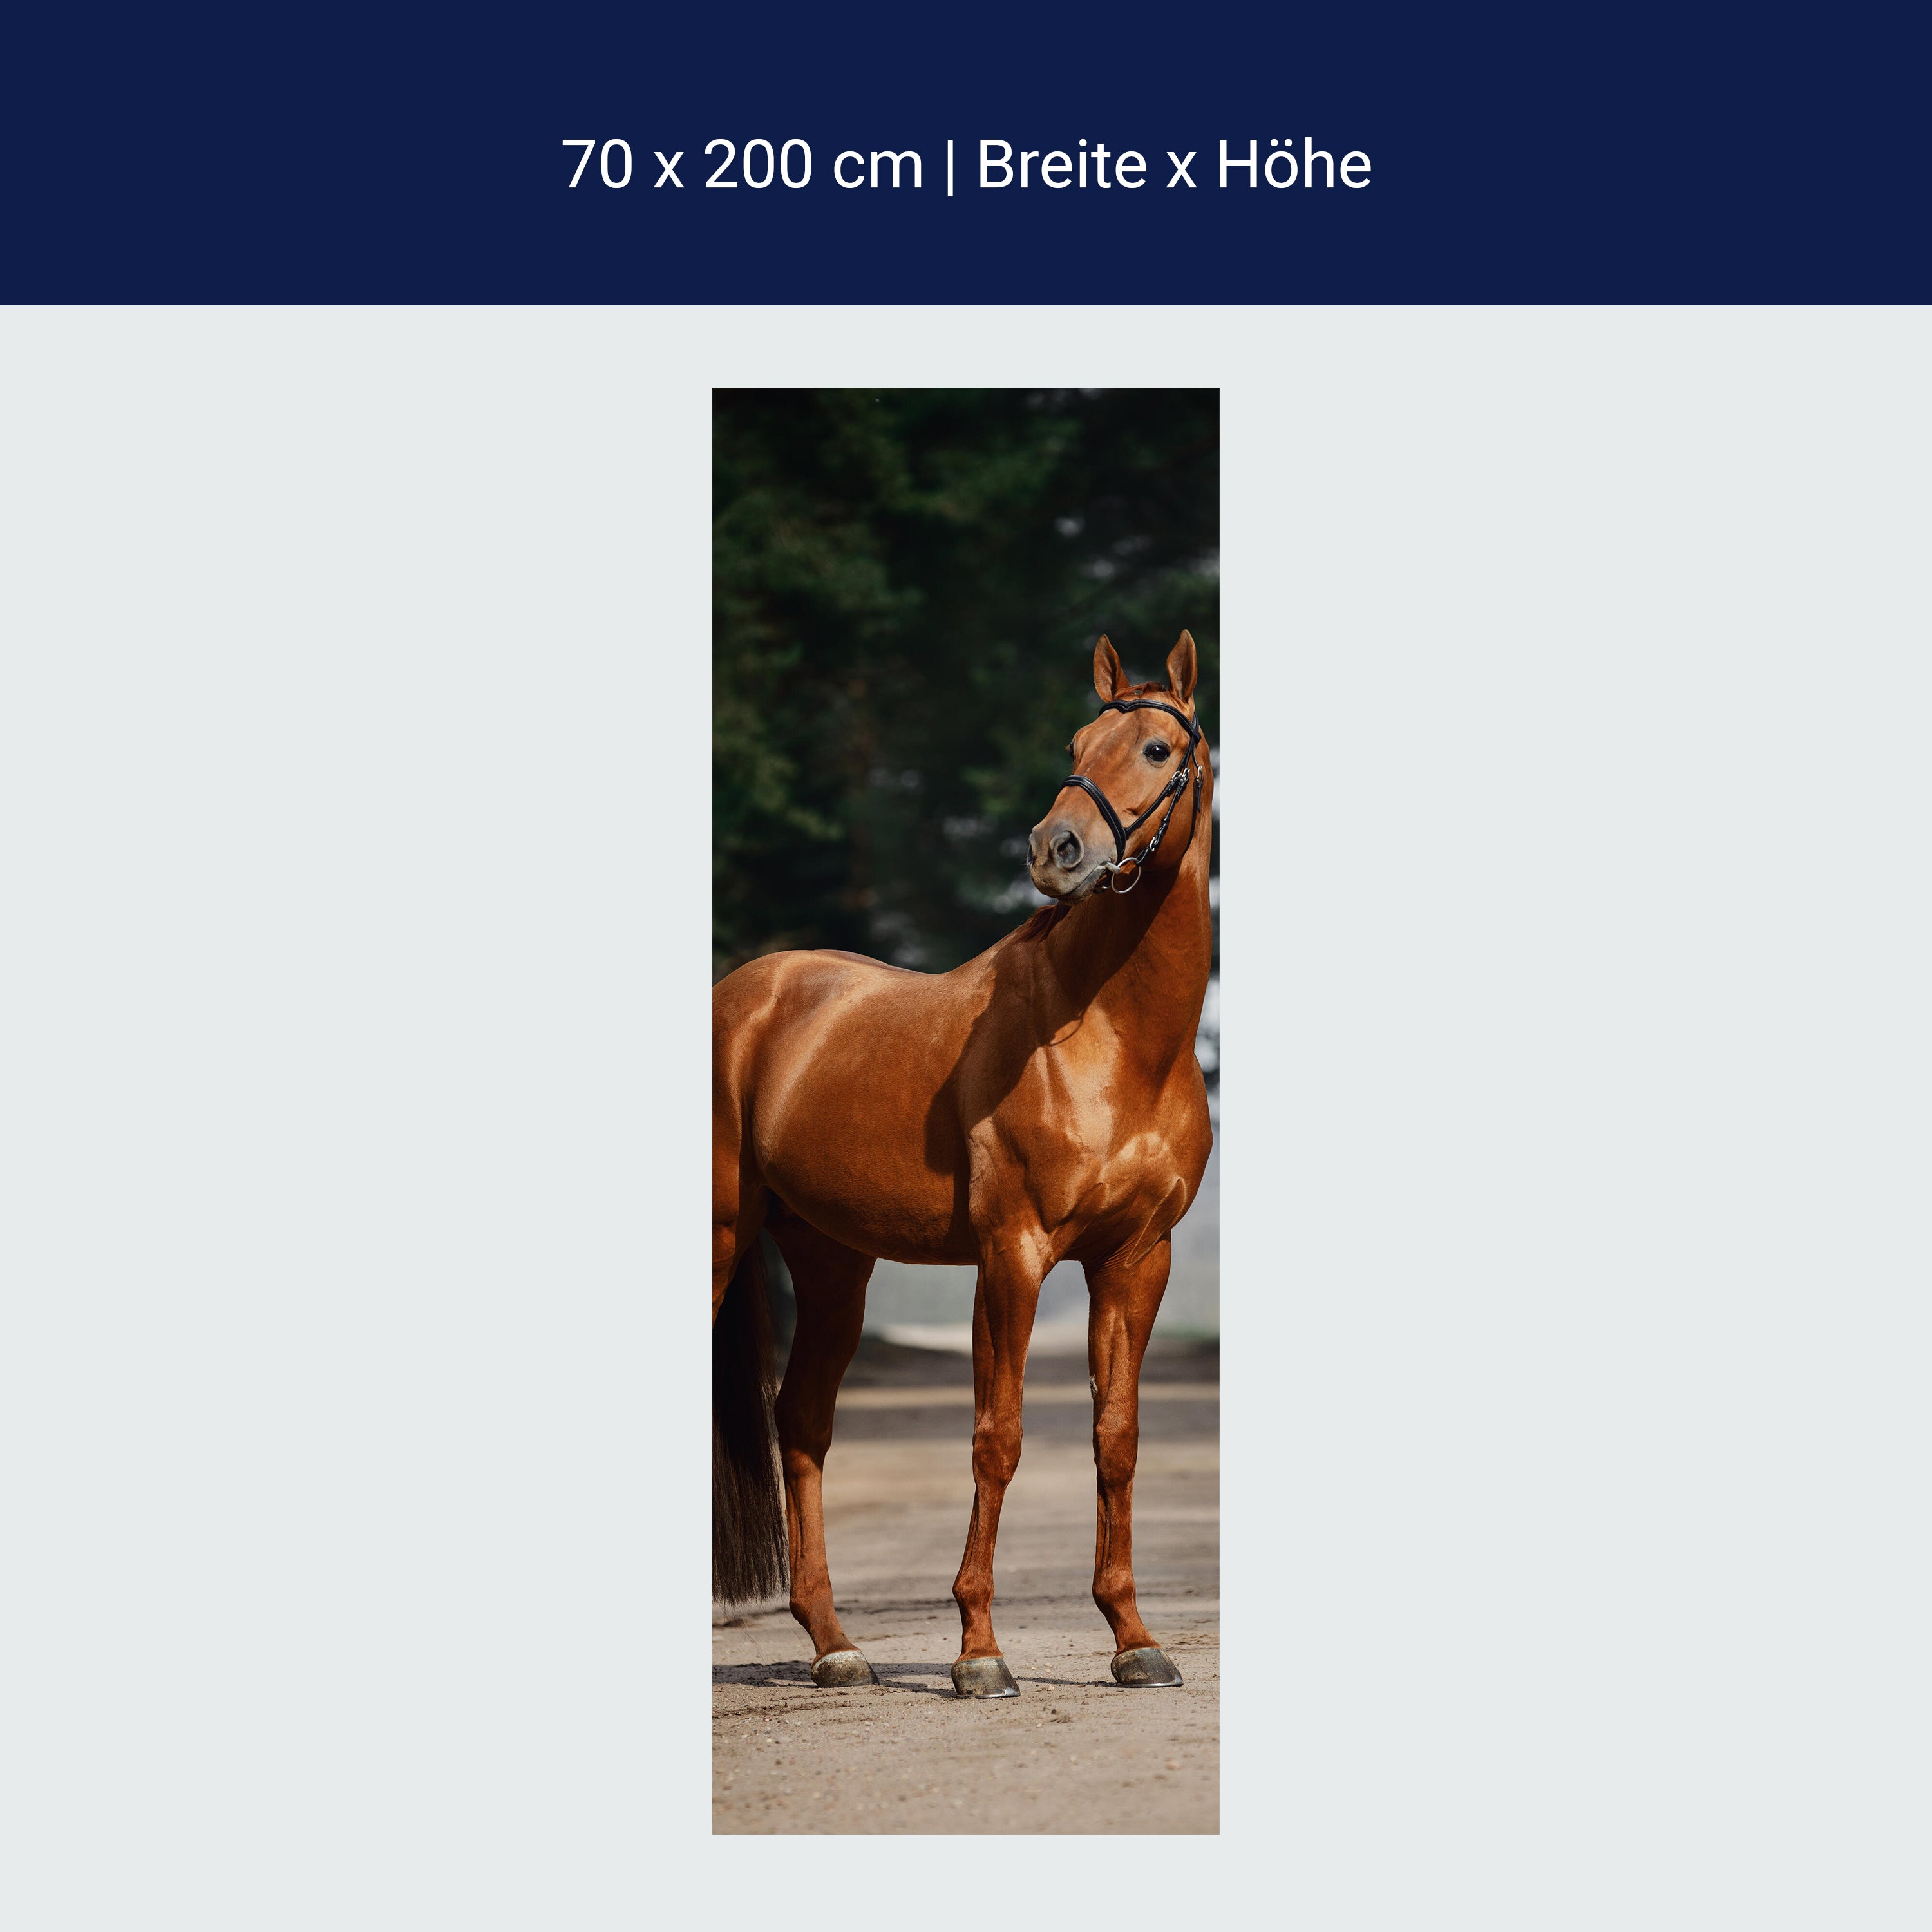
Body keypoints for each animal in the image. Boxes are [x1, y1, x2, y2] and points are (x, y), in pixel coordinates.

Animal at [712, 631, 1214, 1698]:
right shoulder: (1012, 1254)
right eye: (1077, 742)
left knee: (802, 1424)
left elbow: (1117, 1438)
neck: (1110, 1037)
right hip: (723, 1240)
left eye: (1158, 749)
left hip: (830, 1266)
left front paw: (1134, 1639)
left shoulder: (1136, 1259)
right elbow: (1000, 1434)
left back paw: (836, 1647)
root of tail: (749, 992)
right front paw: (980, 1651)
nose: (1056, 850)